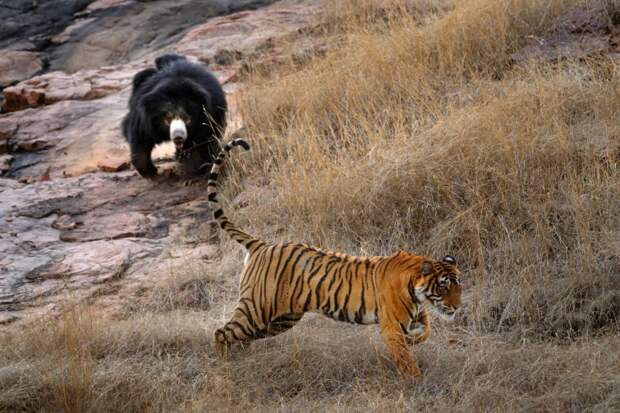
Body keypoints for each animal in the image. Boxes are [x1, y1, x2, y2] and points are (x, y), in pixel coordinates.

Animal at [208, 139, 460, 376]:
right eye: (443, 286)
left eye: (459, 286)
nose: (457, 307)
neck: (416, 288)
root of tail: (261, 245)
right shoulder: (391, 327)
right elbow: (406, 360)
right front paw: (415, 381)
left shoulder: (416, 314)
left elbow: (427, 329)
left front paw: (415, 340)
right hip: (257, 310)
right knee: (221, 332)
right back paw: (224, 365)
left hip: (281, 319)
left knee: (242, 336)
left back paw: (242, 356)